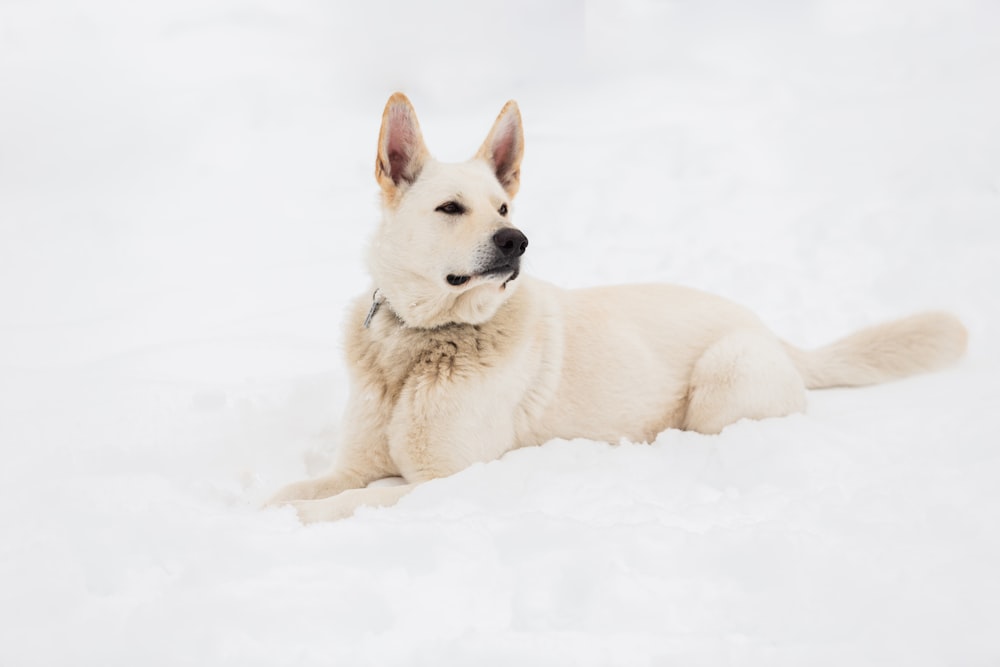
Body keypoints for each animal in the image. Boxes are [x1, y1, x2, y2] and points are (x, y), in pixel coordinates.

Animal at [268, 92, 968, 520]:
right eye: (450, 208)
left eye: (503, 206)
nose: (517, 240)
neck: (420, 342)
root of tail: (772, 332)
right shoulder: (355, 462)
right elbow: (310, 484)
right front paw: (276, 503)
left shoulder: (445, 480)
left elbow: (358, 499)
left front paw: (304, 516)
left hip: (723, 381)